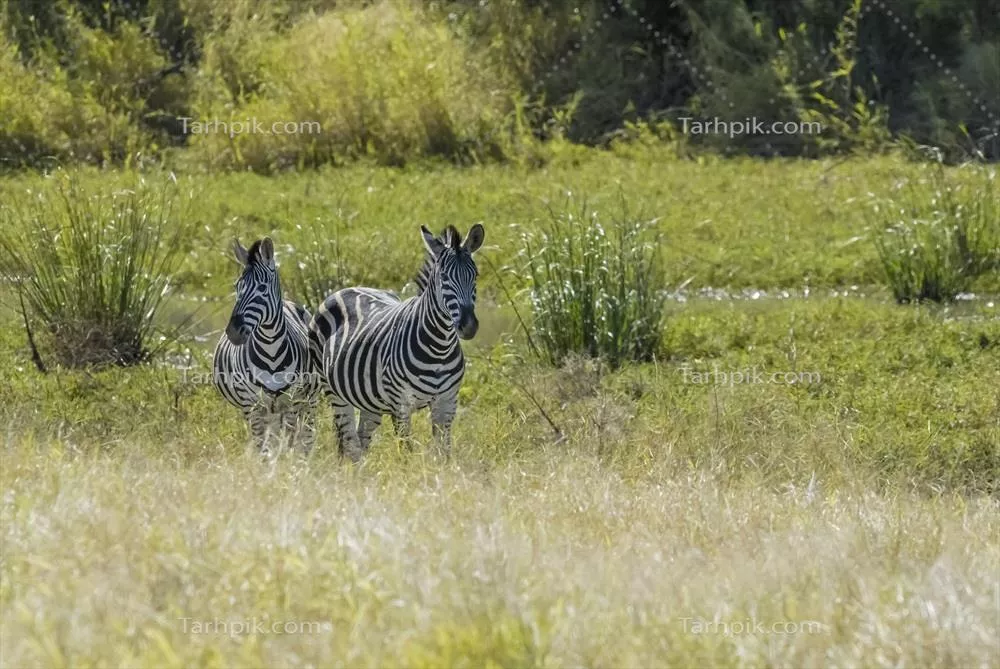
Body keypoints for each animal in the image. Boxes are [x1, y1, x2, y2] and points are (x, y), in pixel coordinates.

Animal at [213, 237, 320, 456]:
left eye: (262, 288)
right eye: (237, 286)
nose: (234, 332)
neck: (270, 349)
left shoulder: (291, 401)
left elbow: (288, 443)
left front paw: (287, 463)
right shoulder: (252, 404)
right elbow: (263, 447)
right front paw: (269, 464)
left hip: (308, 400)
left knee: (306, 435)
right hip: (267, 409)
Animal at [309, 224, 485, 460]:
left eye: (475, 275)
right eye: (444, 277)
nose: (469, 326)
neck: (439, 349)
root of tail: (347, 288)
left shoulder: (447, 402)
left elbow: (444, 453)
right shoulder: (401, 405)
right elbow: (407, 452)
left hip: (369, 399)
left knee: (362, 439)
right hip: (333, 391)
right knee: (349, 442)